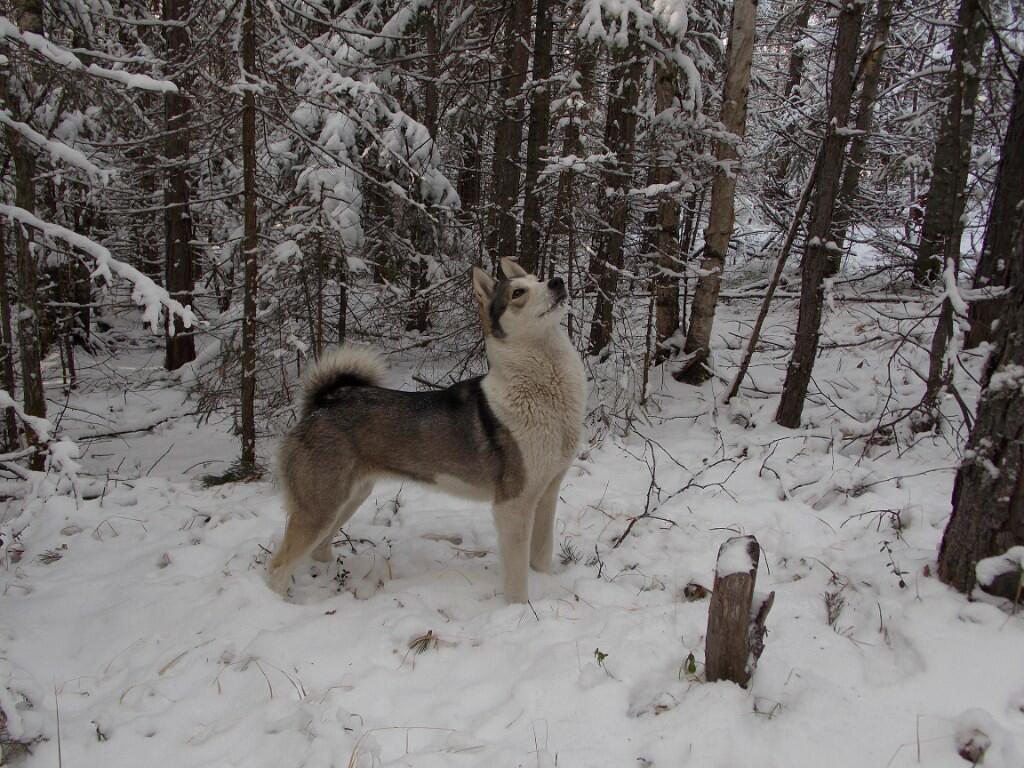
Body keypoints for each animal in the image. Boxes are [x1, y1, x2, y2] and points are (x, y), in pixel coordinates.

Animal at [268, 262, 589, 606]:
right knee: (277, 567)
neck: (544, 390)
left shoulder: (546, 495)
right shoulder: (513, 506)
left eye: (538, 278)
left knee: (319, 548)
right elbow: (517, 579)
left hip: (348, 499)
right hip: (320, 510)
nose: (557, 282)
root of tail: (320, 405)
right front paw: (519, 610)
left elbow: (541, 557)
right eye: (518, 292)